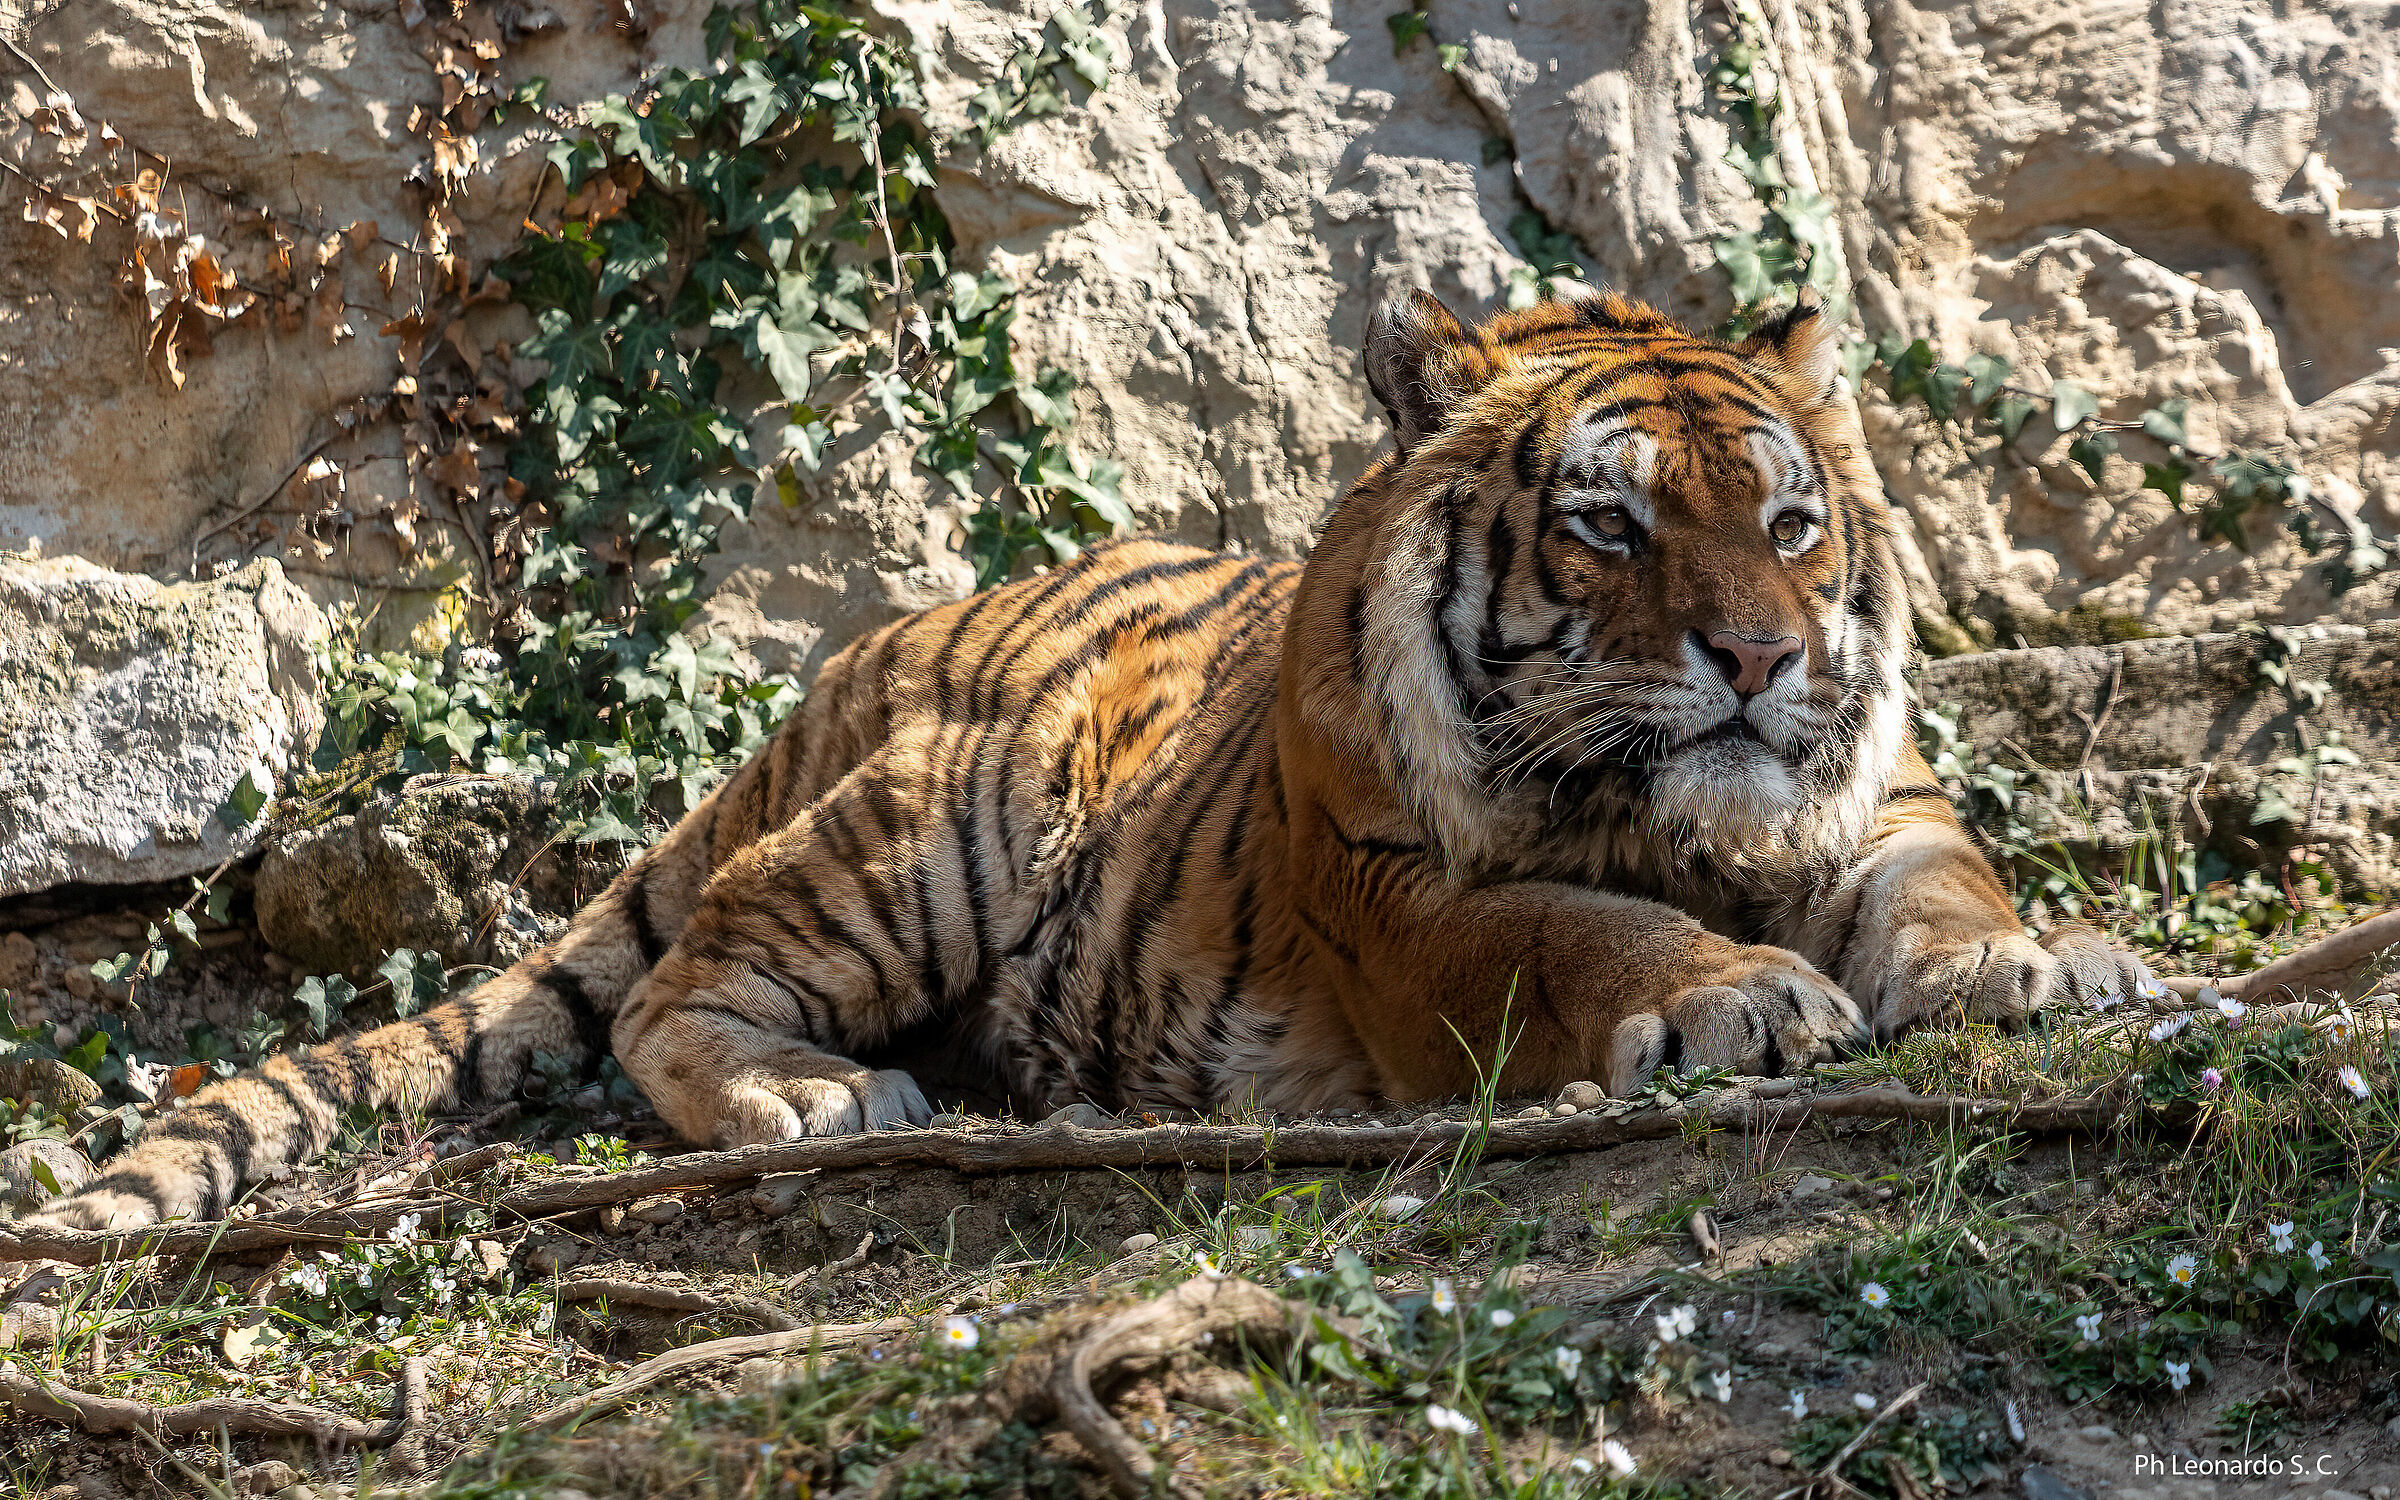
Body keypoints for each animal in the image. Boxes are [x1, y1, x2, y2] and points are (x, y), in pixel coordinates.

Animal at [36, 285, 2150, 1232]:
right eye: (1613, 528)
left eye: (1789, 524)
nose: (1765, 656)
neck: (1682, 824)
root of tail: (849, 659)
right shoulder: (1405, 900)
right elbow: (1584, 934)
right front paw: (1742, 1000)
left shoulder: (1880, 807)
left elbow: (1944, 887)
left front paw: (2040, 964)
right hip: (938, 827)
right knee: (666, 997)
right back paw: (820, 1097)